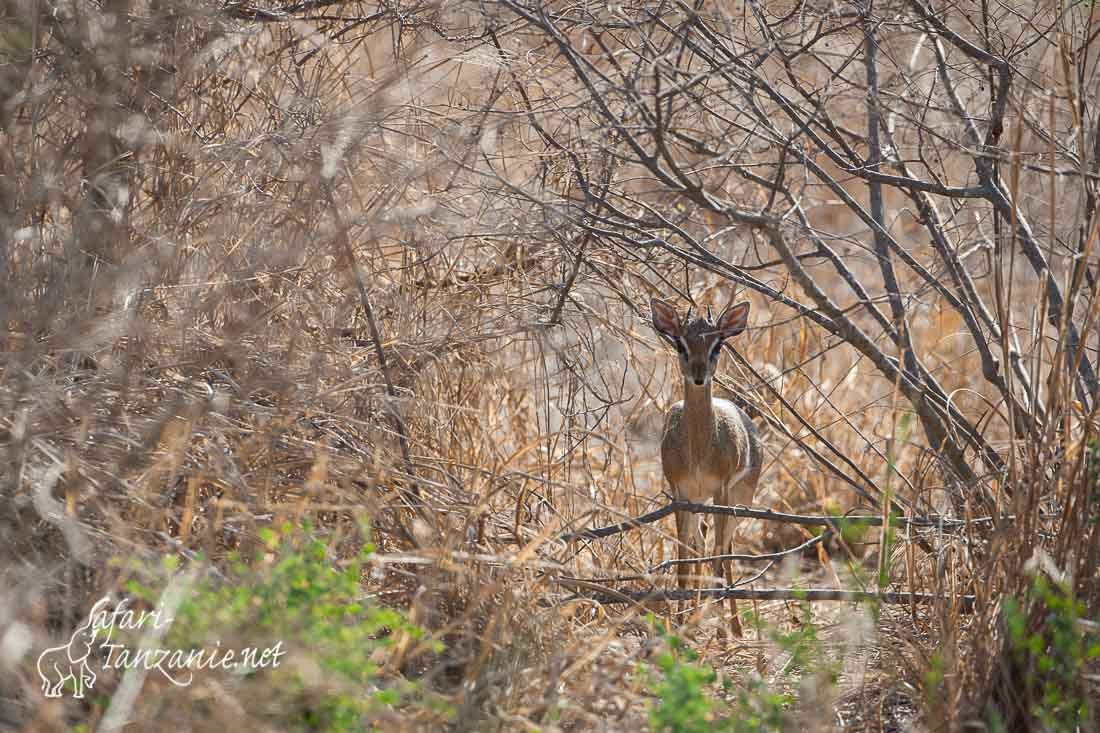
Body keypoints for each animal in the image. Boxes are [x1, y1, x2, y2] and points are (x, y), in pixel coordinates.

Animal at [646, 294, 761, 633]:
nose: (698, 376)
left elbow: (718, 558)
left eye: (717, 345)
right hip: (700, 502)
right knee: (702, 543)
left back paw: (733, 627)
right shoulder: (680, 495)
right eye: (680, 344)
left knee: (724, 550)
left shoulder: (720, 491)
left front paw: (722, 633)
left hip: (738, 500)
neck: (698, 451)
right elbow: (684, 560)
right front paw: (680, 624)